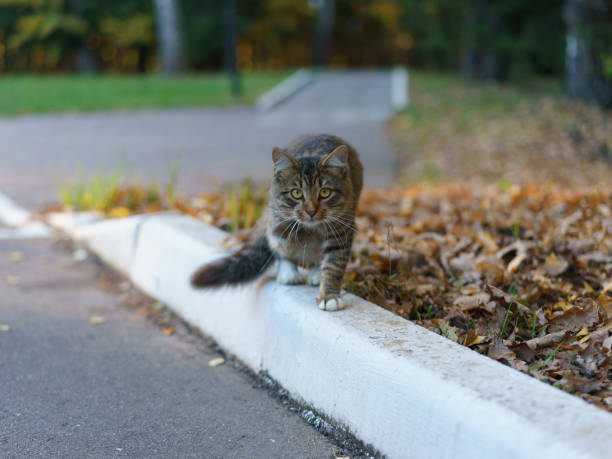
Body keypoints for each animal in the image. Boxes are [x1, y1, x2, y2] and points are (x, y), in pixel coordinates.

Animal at [191, 134, 360, 312]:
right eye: (296, 193)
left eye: (325, 192)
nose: (311, 211)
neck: (311, 229)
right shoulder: (281, 224)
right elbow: (281, 250)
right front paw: (291, 273)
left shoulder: (341, 231)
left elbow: (333, 266)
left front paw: (329, 296)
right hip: (277, 222)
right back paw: (289, 273)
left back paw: (315, 274)